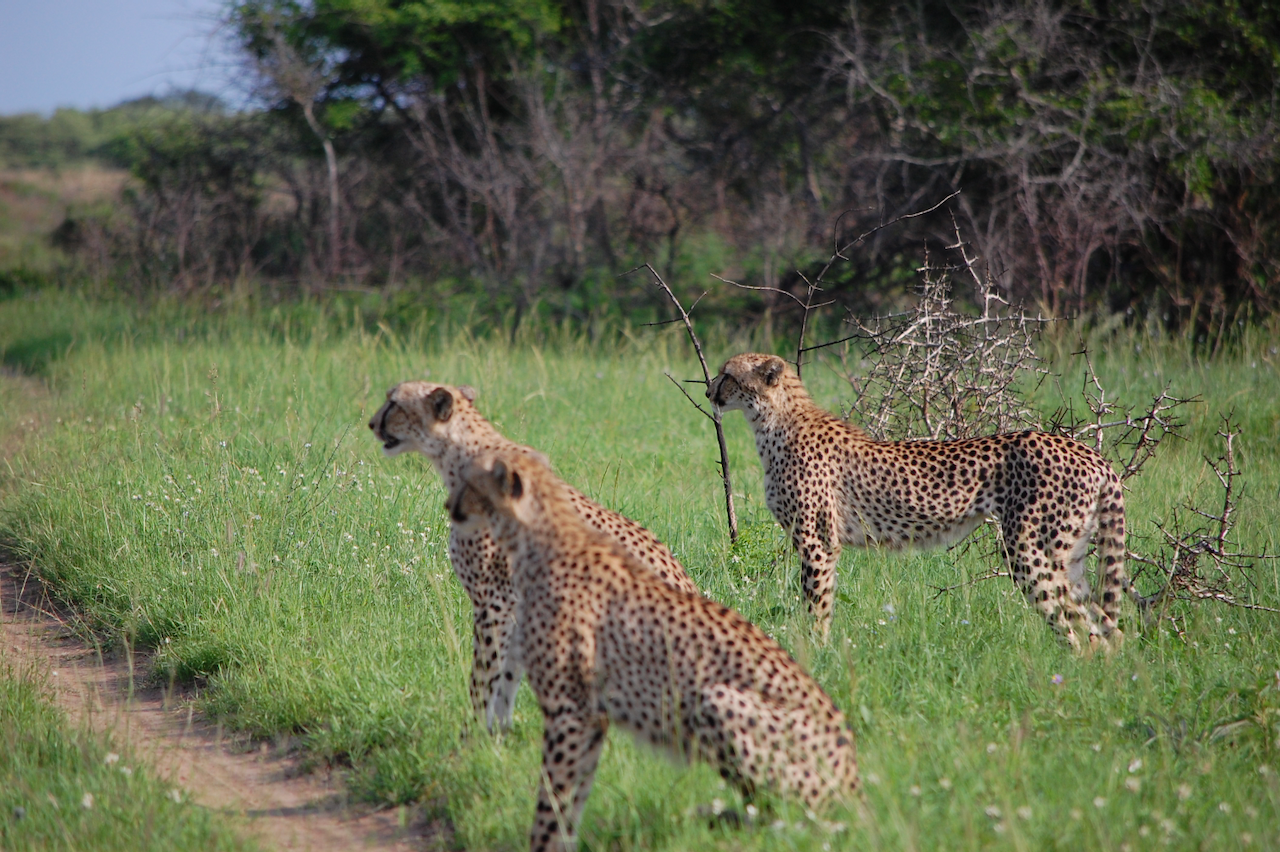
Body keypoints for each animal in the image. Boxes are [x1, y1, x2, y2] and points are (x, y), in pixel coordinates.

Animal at [369, 380, 699, 731]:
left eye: (393, 403)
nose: (372, 423)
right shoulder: (516, 603)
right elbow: (507, 674)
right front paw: (498, 732)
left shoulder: (493, 602)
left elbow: (484, 677)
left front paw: (474, 732)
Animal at [708, 352, 1144, 651]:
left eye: (728, 374)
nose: (709, 390)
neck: (773, 421)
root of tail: (1089, 453)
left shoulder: (818, 542)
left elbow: (817, 604)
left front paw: (816, 654)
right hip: (1071, 555)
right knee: (1108, 629)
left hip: (1030, 549)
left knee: (1082, 631)